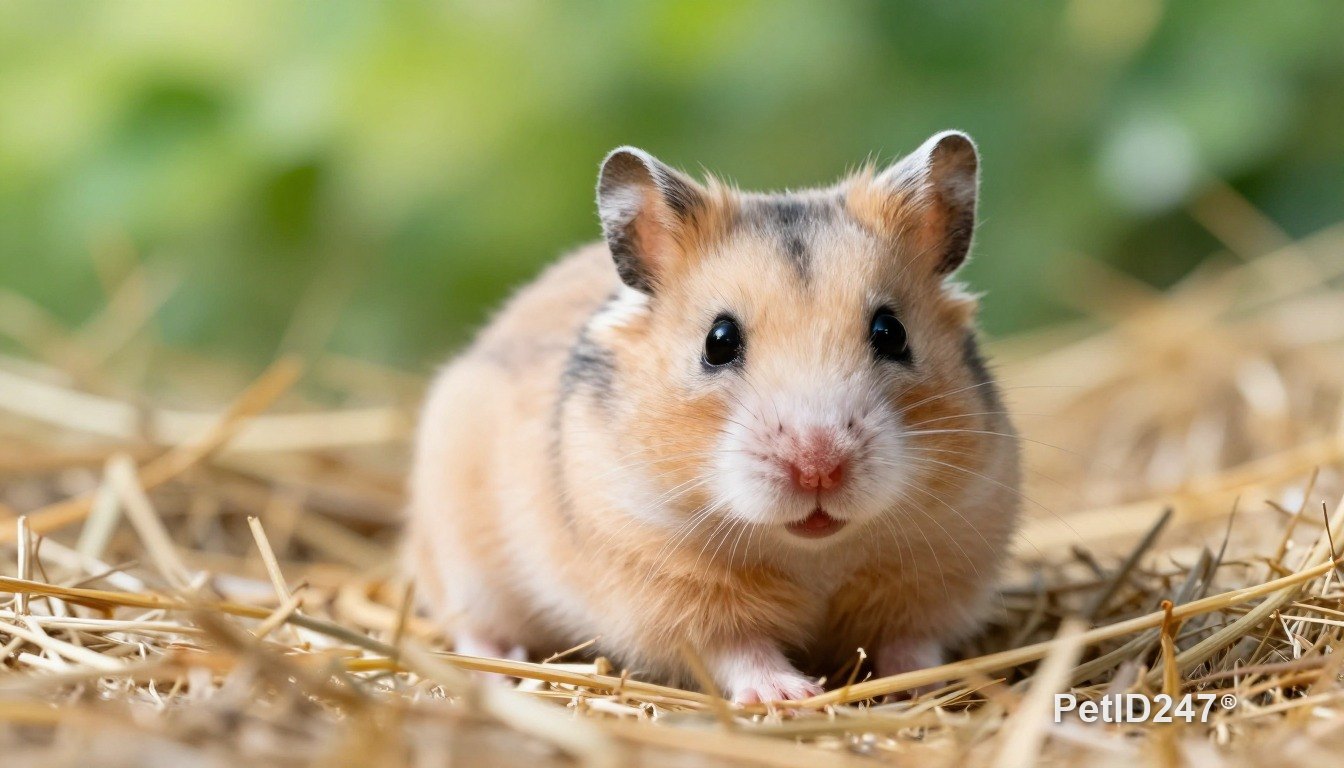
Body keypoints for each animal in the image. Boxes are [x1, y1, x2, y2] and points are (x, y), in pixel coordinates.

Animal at [405, 131, 1020, 704]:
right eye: (718, 341)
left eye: (891, 332)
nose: (818, 468)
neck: (813, 553)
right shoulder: (664, 586)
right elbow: (738, 647)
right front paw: (790, 696)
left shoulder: (943, 562)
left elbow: (910, 642)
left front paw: (924, 685)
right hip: (463, 559)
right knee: (470, 625)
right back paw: (501, 667)